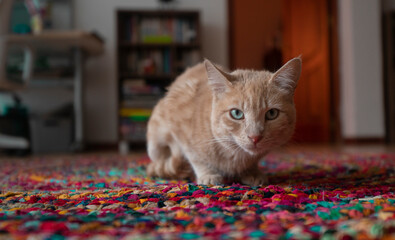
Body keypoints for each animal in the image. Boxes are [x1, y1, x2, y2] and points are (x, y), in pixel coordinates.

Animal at [147, 56, 302, 186]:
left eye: (272, 113)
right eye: (237, 113)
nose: (255, 137)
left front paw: (251, 172)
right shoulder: (180, 129)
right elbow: (195, 158)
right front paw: (208, 174)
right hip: (154, 144)